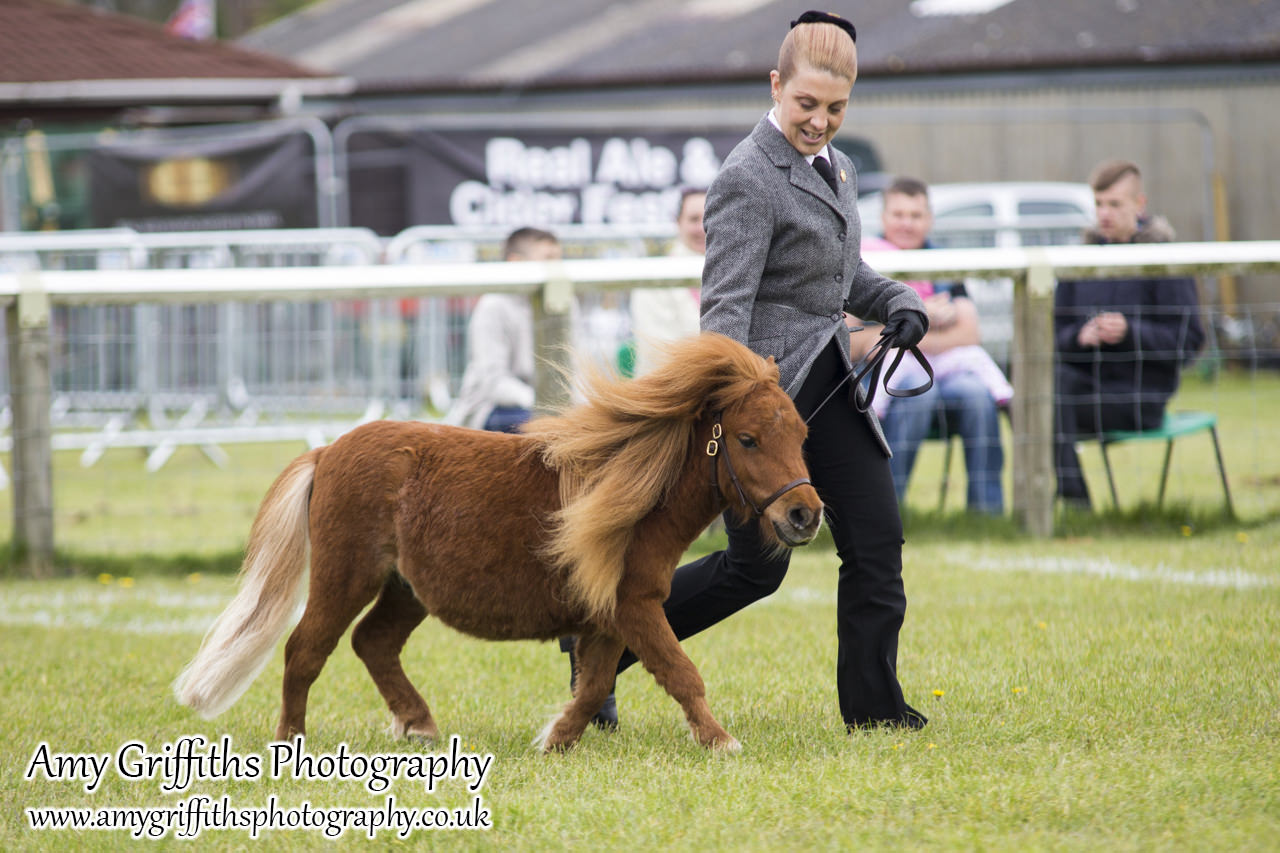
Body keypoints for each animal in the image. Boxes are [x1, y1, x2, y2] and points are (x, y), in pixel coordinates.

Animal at [177, 333, 819, 753]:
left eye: (802, 433)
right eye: (747, 439)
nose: (805, 515)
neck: (628, 490)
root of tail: (329, 451)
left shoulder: (611, 614)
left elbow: (595, 686)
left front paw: (556, 739)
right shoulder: (633, 607)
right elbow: (681, 673)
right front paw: (721, 741)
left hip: (404, 589)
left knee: (373, 643)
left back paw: (420, 725)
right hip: (346, 576)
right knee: (305, 650)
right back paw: (291, 742)